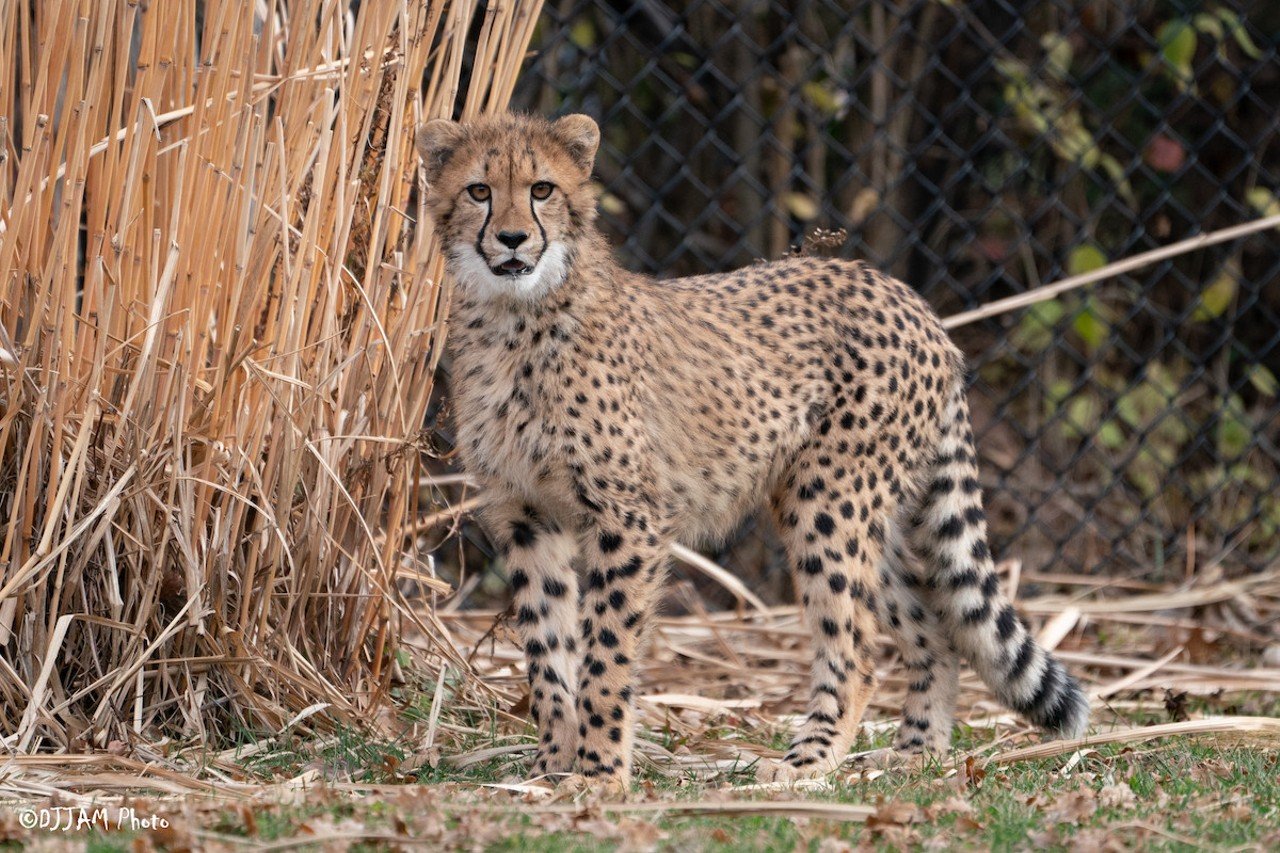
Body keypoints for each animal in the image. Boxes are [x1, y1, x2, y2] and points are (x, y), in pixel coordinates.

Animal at [419, 114, 1090, 788]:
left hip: (827, 499)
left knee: (856, 646)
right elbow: (545, 646)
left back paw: (807, 763)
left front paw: (601, 771)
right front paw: (553, 764)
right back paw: (914, 755)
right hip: (879, 515)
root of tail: (909, 299)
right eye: (479, 191)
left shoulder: (628, 517)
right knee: (932, 631)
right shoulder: (526, 513)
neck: (512, 317)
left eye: (542, 189)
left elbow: (605, 653)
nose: (511, 238)